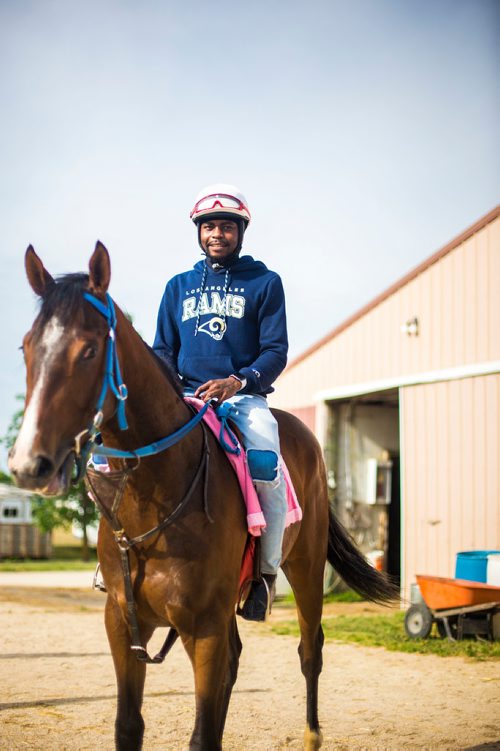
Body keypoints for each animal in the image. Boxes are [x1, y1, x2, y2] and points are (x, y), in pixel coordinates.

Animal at [9, 244, 396, 748]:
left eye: (89, 349)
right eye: (26, 347)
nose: (28, 463)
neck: (152, 500)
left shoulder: (204, 628)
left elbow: (203, 734)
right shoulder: (122, 626)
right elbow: (129, 726)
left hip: (307, 571)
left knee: (310, 650)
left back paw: (312, 735)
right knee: (239, 658)